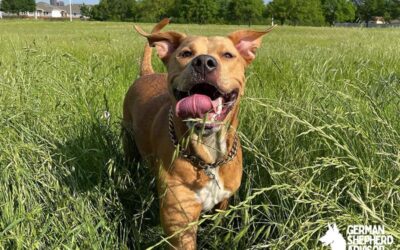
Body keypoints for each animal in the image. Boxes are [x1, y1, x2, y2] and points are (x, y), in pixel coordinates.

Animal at [121, 18, 272, 249]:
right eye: (185, 53)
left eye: (228, 55)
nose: (203, 62)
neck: (208, 155)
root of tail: (147, 73)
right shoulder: (179, 222)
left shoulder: (223, 202)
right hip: (128, 139)